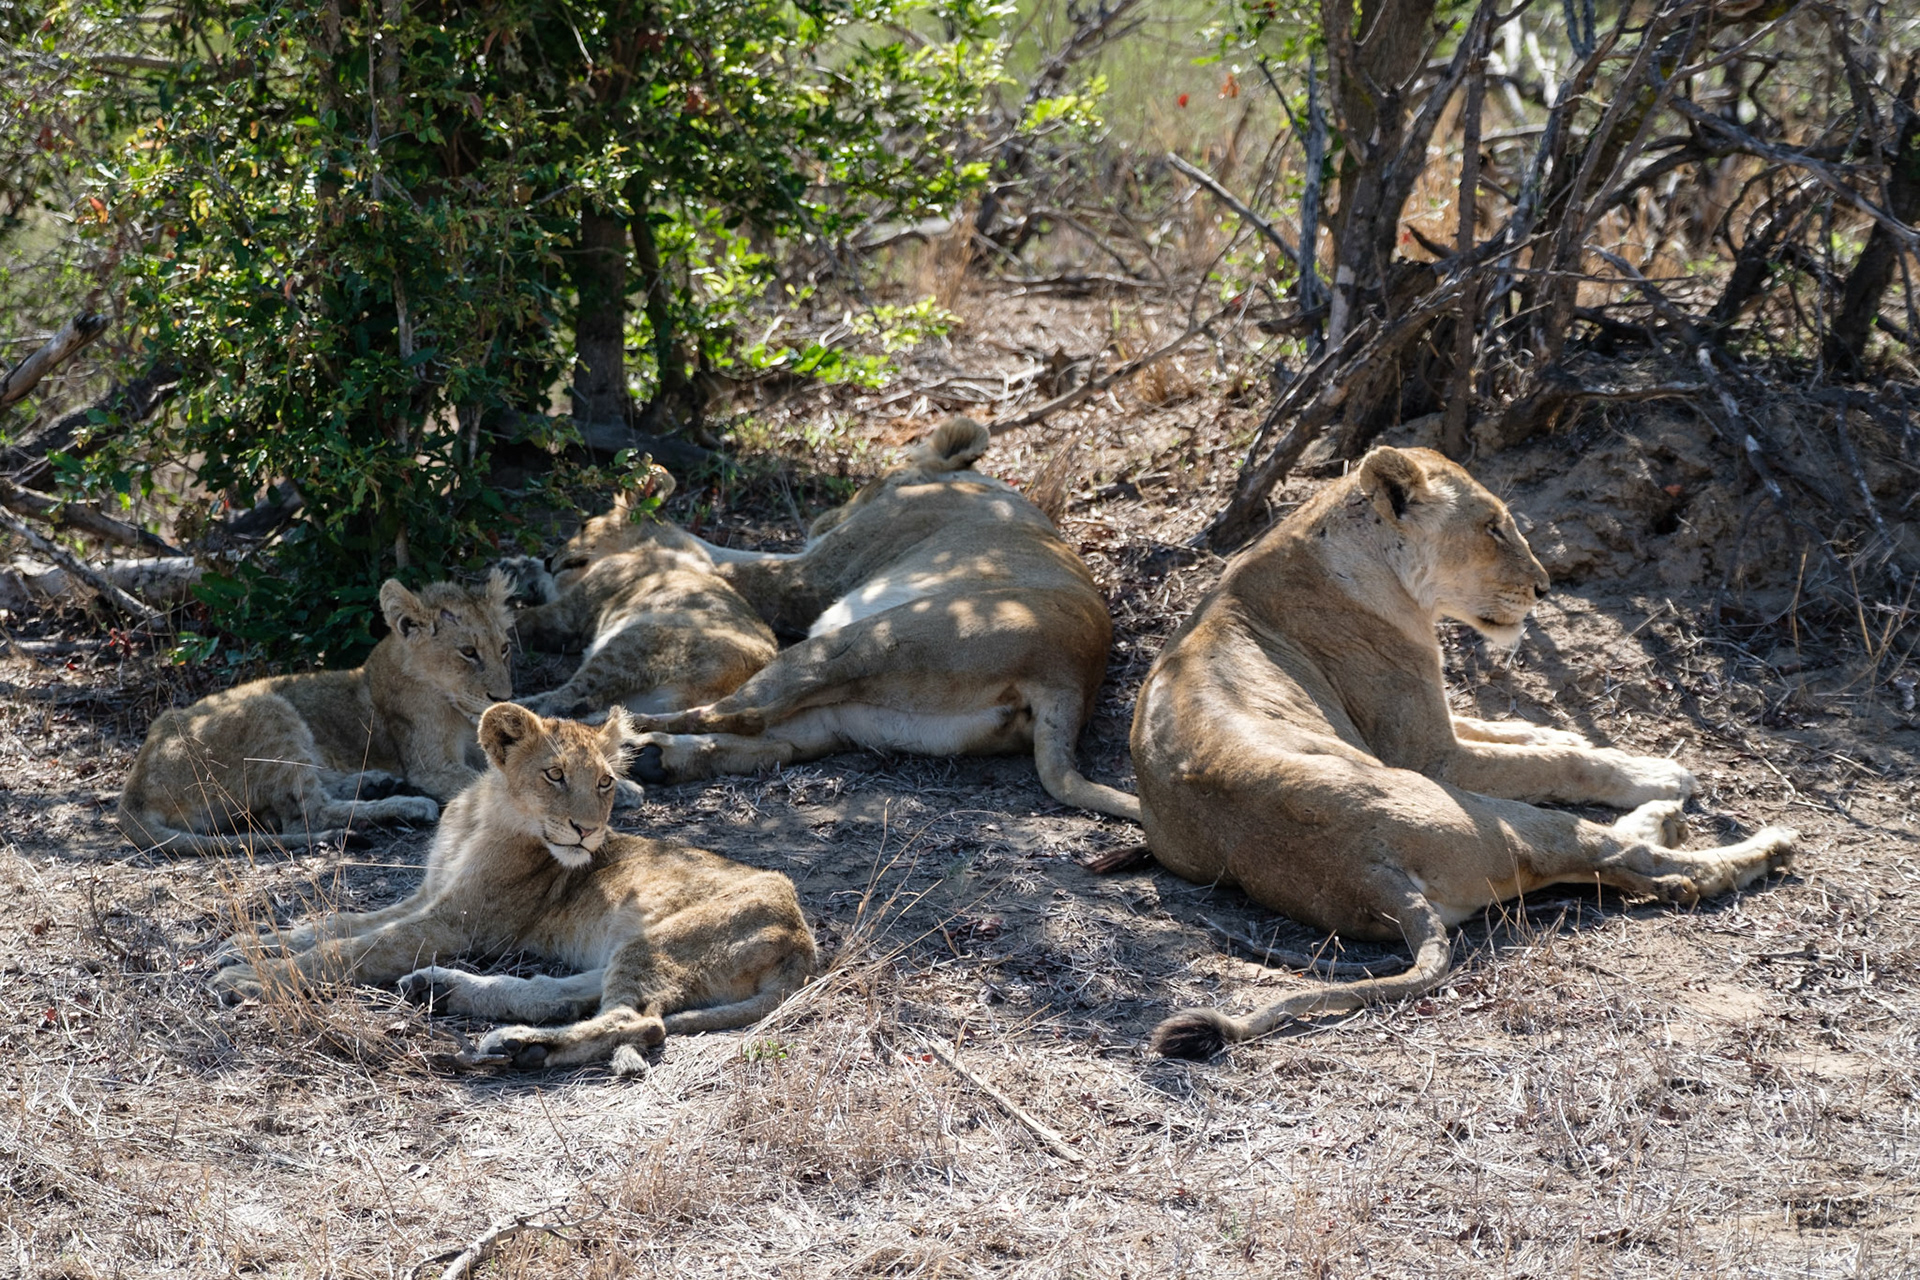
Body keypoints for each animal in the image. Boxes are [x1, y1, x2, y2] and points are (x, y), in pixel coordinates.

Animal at [117, 574, 514, 854]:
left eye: (505, 648)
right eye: (468, 652)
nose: (503, 697)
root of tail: (133, 791)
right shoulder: (430, 766)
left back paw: (377, 782)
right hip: (266, 708)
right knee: (305, 815)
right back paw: (408, 804)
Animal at [213, 702, 816, 1073]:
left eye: (606, 782)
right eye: (554, 775)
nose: (588, 831)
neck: (482, 816)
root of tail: (804, 941)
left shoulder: (455, 922)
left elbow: (353, 949)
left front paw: (249, 978)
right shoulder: (429, 896)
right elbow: (339, 923)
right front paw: (246, 945)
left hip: (660, 941)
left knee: (638, 1022)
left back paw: (523, 1047)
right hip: (639, 945)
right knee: (570, 993)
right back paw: (448, 994)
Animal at [509, 466, 777, 720]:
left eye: (585, 526)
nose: (549, 560)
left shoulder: (569, 615)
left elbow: (515, 619)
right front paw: (516, 567)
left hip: (631, 643)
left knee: (561, 699)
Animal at [626, 417, 1140, 821]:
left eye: (868, 482)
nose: (820, 521)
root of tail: (1071, 679)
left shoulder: (812, 576)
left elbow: (726, 560)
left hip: (863, 643)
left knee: (745, 714)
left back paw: (628, 729)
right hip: (869, 716)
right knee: (778, 741)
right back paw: (650, 757)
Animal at [1128, 445, 1797, 1058]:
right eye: (1493, 527)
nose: (1544, 588)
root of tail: (1369, 877)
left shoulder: (1441, 730)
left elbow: (1514, 733)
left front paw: (1567, 735)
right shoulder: (1429, 755)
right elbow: (1554, 763)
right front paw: (1656, 771)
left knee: (1610, 864)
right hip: (1484, 813)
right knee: (1645, 862)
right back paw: (1749, 841)